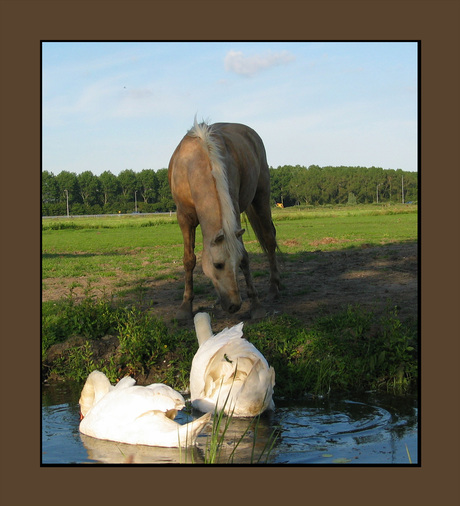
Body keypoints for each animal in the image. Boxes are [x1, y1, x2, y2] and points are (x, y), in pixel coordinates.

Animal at [167, 117, 278, 320]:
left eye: (237, 261)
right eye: (217, 265)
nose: (235, 305)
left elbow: (246, 256)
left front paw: (256, 305)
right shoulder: (184, 218)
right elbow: (189, 260)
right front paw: (185, 307)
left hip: (261, 197)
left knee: (269, 240)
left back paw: (274, 288)